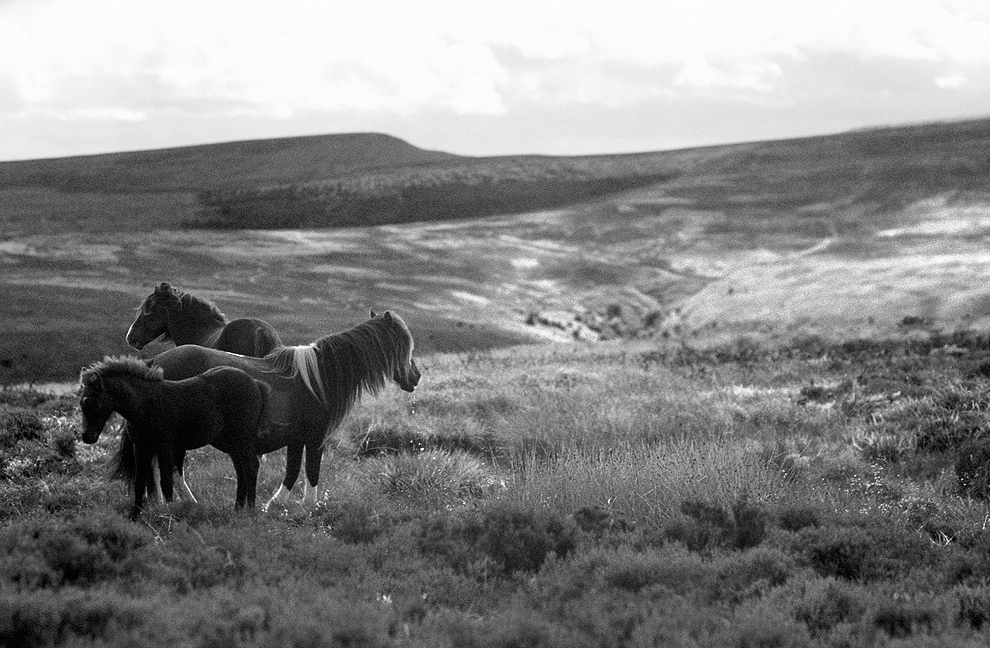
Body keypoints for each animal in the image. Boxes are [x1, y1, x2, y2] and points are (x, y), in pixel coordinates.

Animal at [80, 356, 272, 520]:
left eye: (92, 403)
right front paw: (134, 516)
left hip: (243, 437)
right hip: (231, 441)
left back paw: (251, 510)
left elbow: (166, 482)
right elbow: (139, 482)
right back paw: (237, 509)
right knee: (241, 469)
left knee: (251, 466)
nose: (87, 437)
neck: (145, 405)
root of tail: (255, 383)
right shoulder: (141, 447)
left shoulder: (165, 446)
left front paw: (170, 514)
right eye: (81, 402)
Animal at [113, 310, 422, 512]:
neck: (317, 379)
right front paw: (309, 506)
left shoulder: (297, 439)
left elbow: (293, 470)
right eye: (404, 346)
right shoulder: (315, 438)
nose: (416, 377)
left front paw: (275, 503)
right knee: (173, 468)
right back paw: (187, 502)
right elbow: (311, 472)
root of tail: (155, 363)